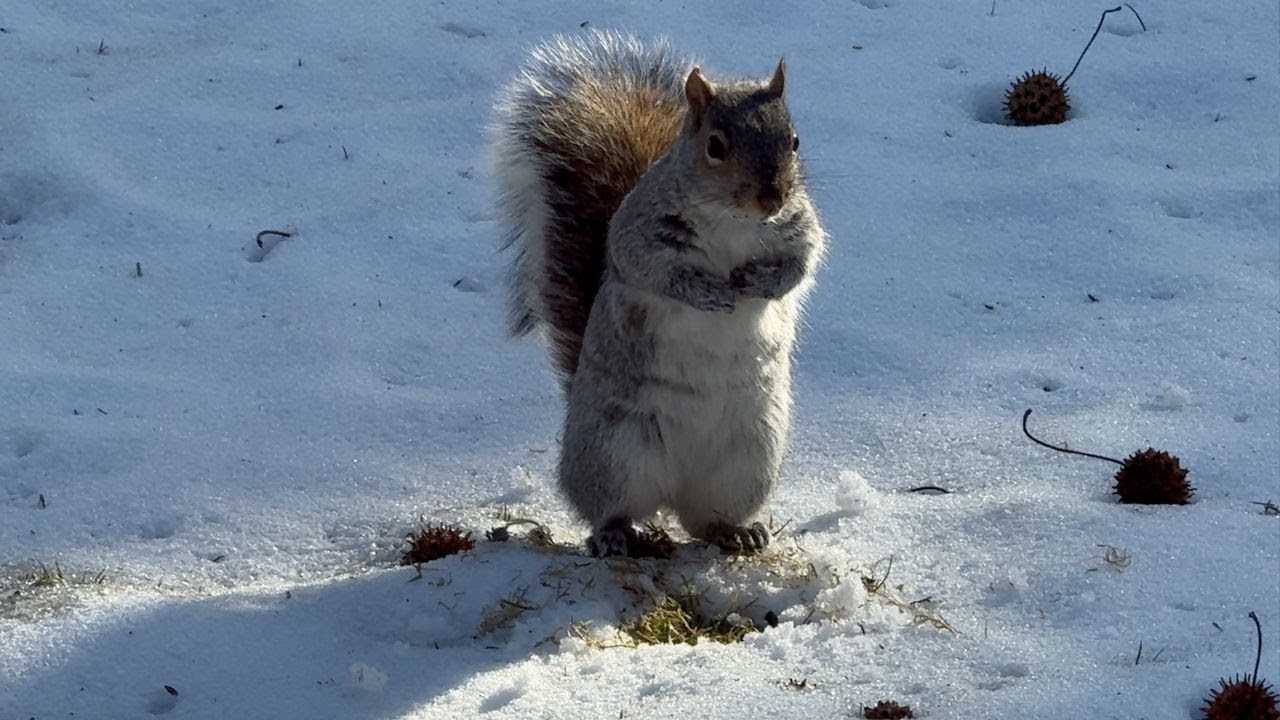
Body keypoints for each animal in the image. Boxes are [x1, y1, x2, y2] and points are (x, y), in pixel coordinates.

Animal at [490, 30, 827, 557]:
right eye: (715, 146)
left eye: (793, 141)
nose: (771, 198)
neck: (735, 222)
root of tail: (672, 494)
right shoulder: (638, 234)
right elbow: (655, 273)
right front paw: (707, 292)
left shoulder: (799, 230)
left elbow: (801, 266)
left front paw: (760, 283)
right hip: (615, 453)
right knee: (613, 507)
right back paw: (612, 536)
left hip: (748, 460)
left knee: (704, 521)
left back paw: (739, 531)